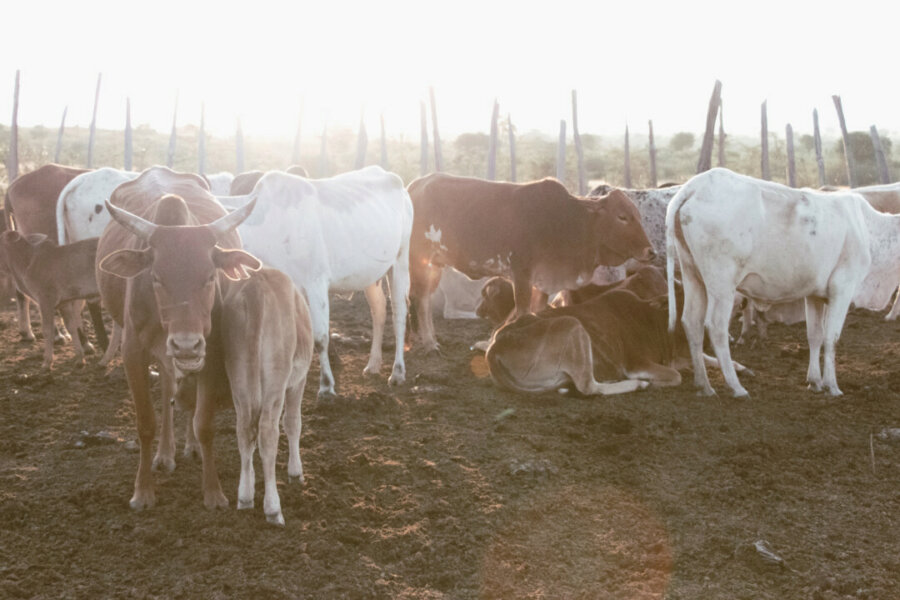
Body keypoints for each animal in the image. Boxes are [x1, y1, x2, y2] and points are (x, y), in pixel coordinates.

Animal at [0, 232, 100, 368]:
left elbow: (47, 330)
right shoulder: (64, 303)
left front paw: (47, 363)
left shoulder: (45, 300)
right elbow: (71, 327)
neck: (26, 263)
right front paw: (80, 358)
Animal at [216, 165, 414, 398]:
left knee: (399, 313)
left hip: (400, 260)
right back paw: (373, 364)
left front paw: (327, 386)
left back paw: (398, 372)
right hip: (370, 275)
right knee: (379, 310)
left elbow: (320, 337)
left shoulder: (316, 283)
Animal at [220, 268, 314, 524]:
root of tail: (256, 286)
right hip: (276, 380)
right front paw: (295, 473)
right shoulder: (298, 382)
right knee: (268, 432)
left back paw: (244, 498)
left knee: (244, 430)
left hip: (239, 376)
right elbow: (293, 423)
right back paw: (273, 508)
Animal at [408, 173, 652, 352]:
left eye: (638, 216)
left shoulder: (543, 281)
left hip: (435, 264)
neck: (566, 220)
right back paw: (429, 343)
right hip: (419, 260)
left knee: (424, 298)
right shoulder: (522, 275)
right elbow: (524, 311)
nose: (650, 251)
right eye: (622, 217)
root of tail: (415, 184)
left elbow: (539, 312)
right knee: (420, 299)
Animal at [660, 166, 900, 396]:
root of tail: (695, 185)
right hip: (722, 284)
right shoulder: (842, 290)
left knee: (692, 322)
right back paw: (736, 387)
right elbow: (831, 338)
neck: (869, 230)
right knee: (716, 327)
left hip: (693, 275)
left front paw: (815, 382)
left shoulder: (815, 294)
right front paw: (832, 386)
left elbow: (815, 336)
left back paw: (704, 385)